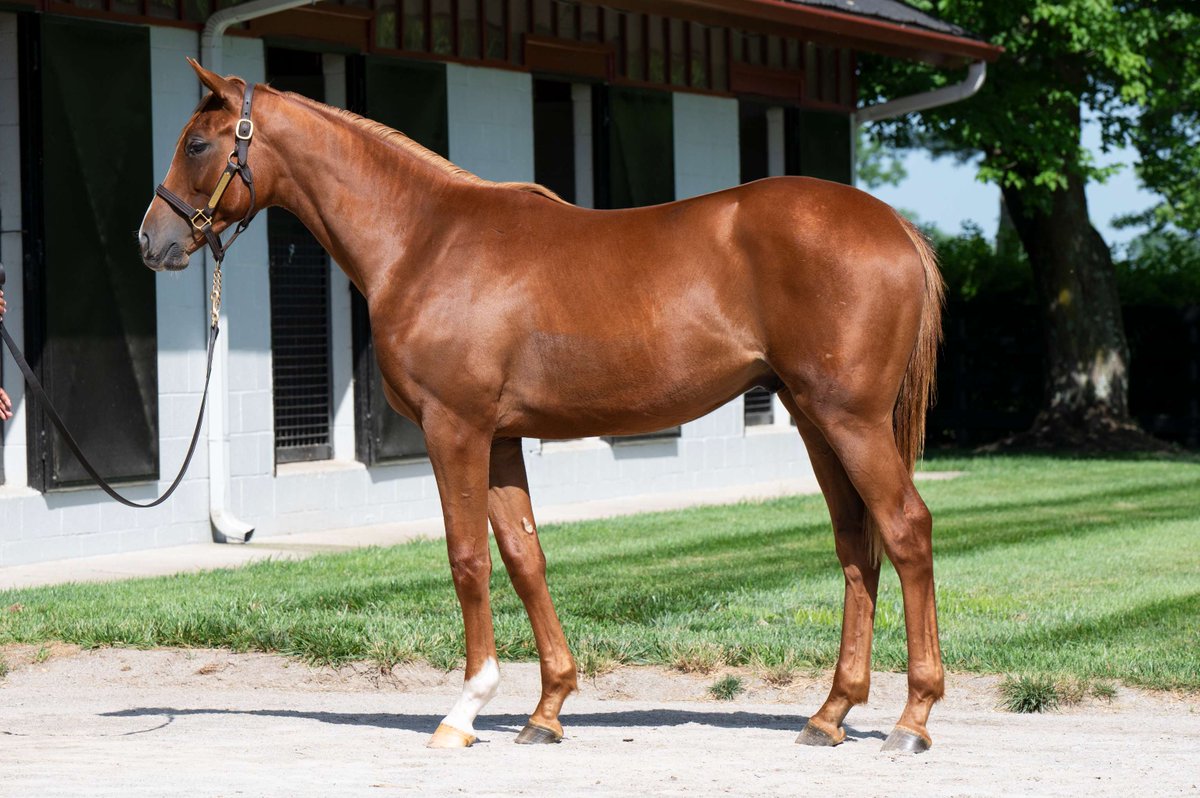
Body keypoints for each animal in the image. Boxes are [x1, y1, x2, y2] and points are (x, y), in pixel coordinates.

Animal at [140, 62, 945, 753]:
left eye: (197, 143)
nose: (153, 240)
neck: (424, 241)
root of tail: (894, 227)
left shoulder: (454, 429)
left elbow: (467, 558)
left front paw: (465, 711)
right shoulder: (499, 439)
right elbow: (525, 557)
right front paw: (547, 708)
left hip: (849, 421)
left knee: (905, 529)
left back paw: (912, 719)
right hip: (815, 420)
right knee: (856, 544)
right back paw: (830, 714)